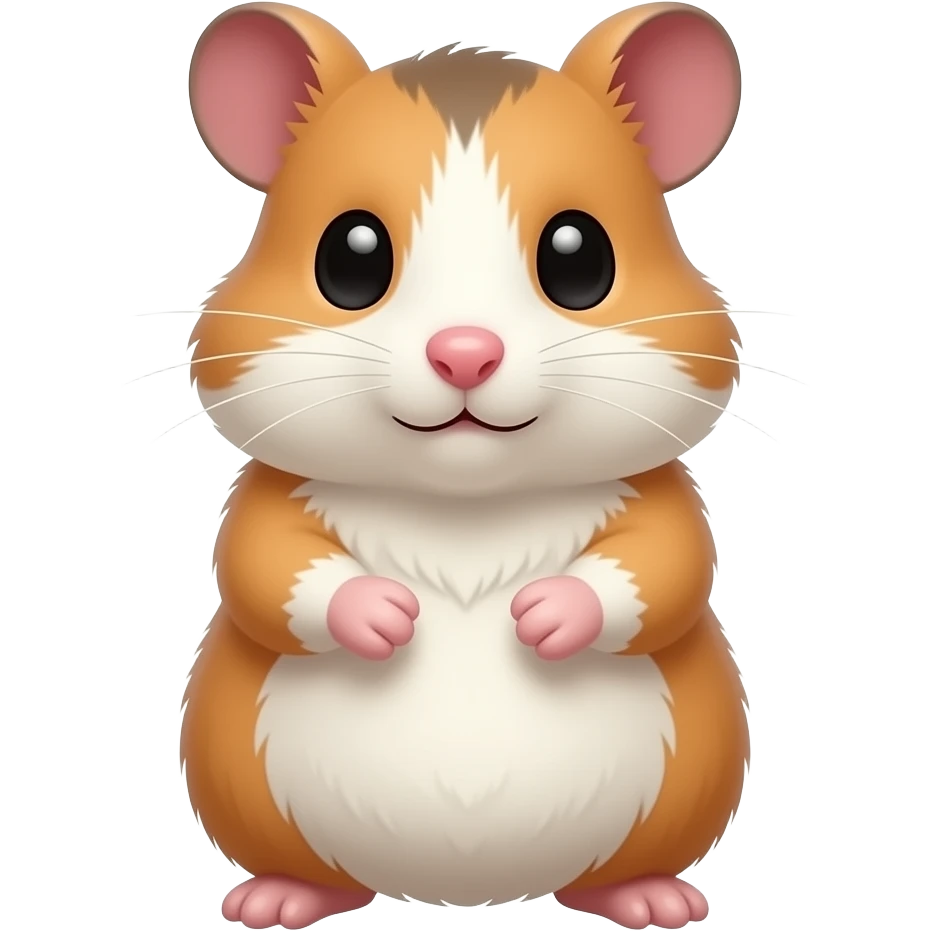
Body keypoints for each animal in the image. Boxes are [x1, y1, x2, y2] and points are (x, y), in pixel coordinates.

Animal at [179, 3, 750, 929]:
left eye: (578, 258)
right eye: (350, 258)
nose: (464, 352)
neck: (464, 507)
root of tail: (466, 891)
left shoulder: (663, 499)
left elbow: (664, 568)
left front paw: (546, 615)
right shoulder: (265, 501)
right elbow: (265, 569)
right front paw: (382, 615)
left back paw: (649, 897)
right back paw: (280, 897)